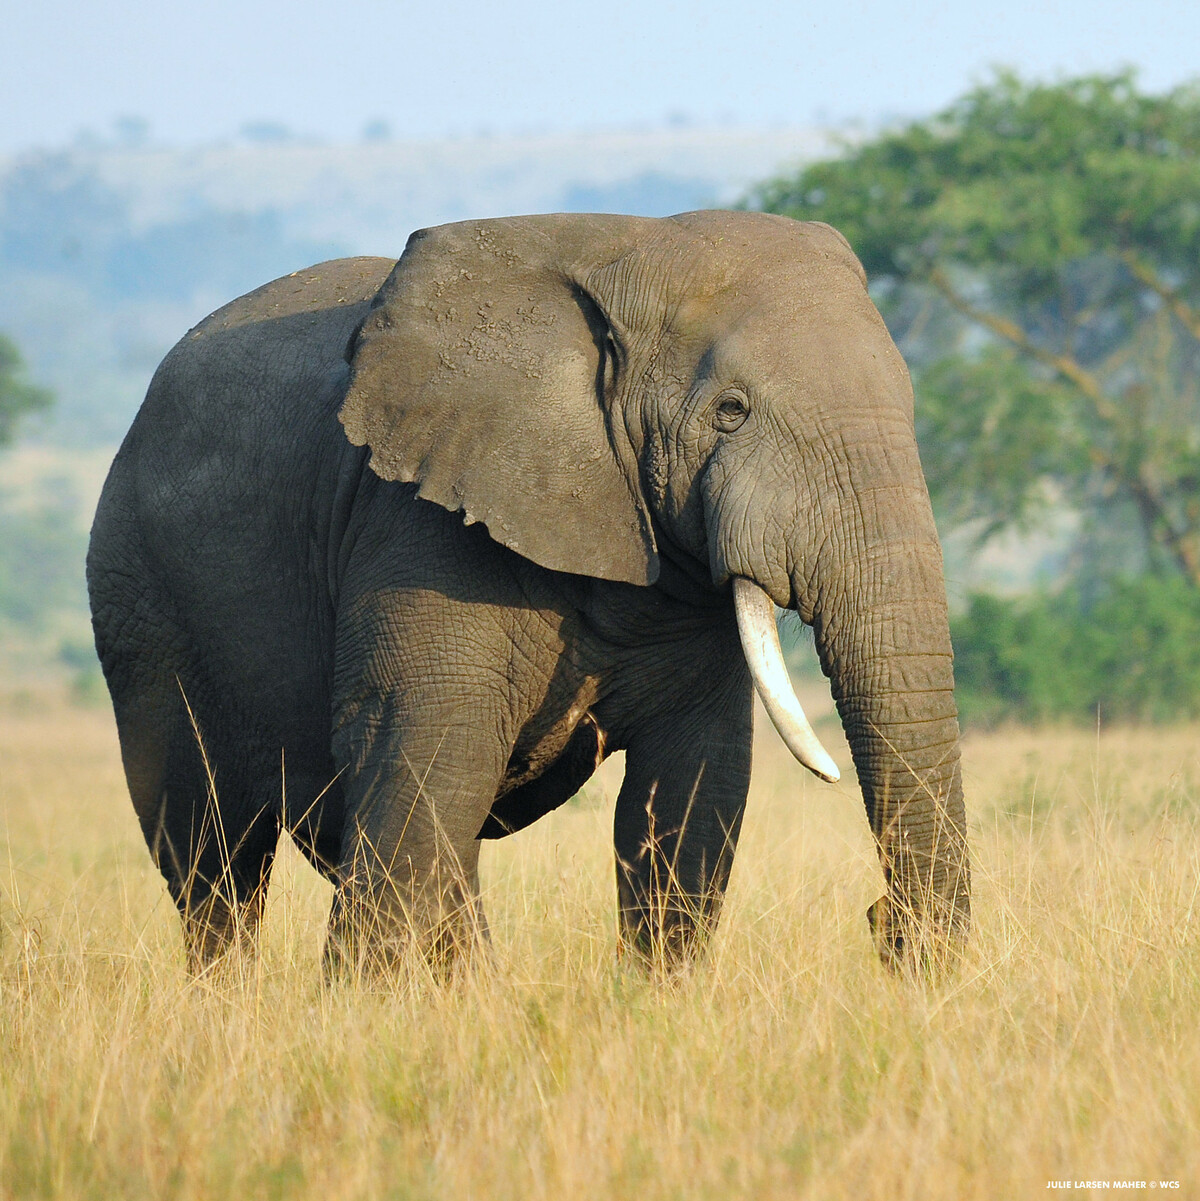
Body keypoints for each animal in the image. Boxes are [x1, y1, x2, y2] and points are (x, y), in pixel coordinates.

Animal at [87, 210, 970, 976]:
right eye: (730, 411)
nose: (884, 925)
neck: (624, 252)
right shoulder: (418, 522)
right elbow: (422, 755)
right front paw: (359, 1021)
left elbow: (689, 792)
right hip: (142, 597)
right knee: (215, 856)